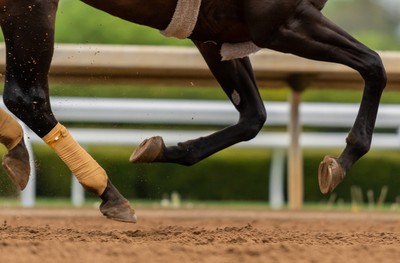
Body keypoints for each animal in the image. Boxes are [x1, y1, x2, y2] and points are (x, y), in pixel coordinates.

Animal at [0, 0, 388, 224]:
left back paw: (16, 146)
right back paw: (108, 191)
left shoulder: (216, 33)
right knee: (27, 97)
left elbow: (253, 116)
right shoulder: (281, 21)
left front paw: (163, 149)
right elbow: (375, 66)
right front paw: (342, 161)